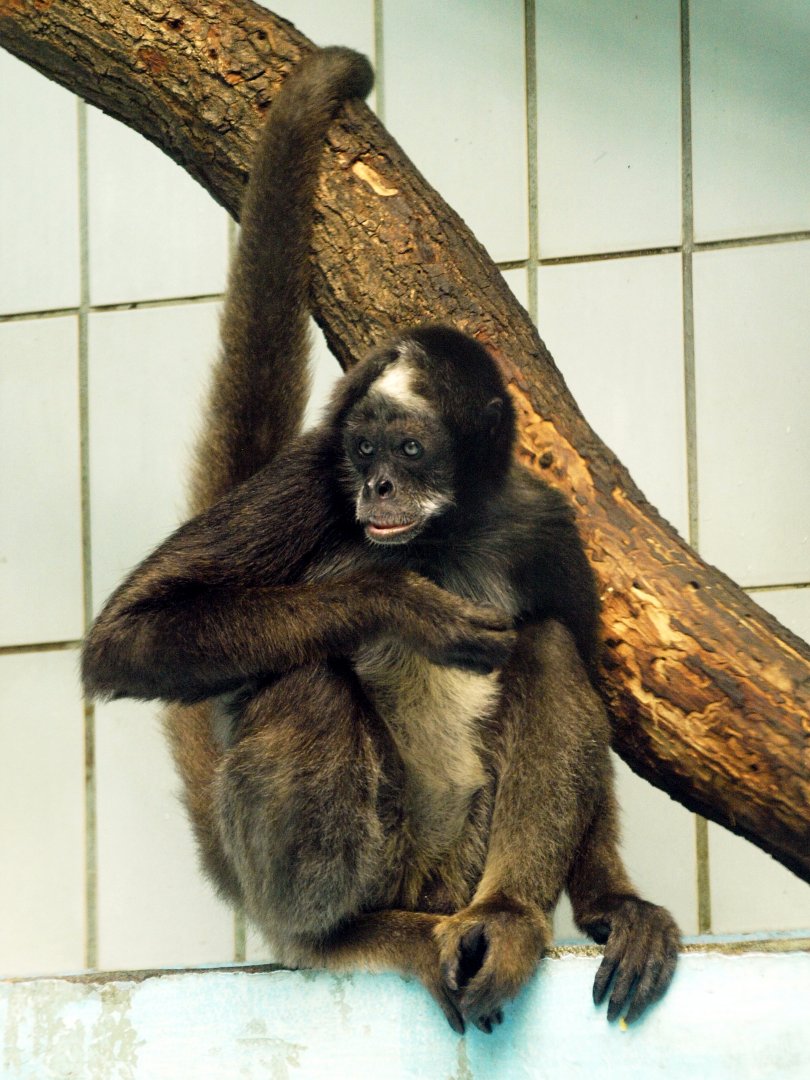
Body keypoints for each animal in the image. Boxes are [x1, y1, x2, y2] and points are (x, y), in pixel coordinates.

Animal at [82, 46, 680, 1035]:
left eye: (409, 448)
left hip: (457, 860)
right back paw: (345, 932)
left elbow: (579, 657)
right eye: (362, 450)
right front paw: (394, 603)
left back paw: (507, 918)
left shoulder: (545, 522)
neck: (440, 539)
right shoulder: (311, 478)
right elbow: (126, 640)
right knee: (305, 680)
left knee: (546, 647)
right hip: (358, 859)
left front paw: (613, 905)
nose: (378, 489)